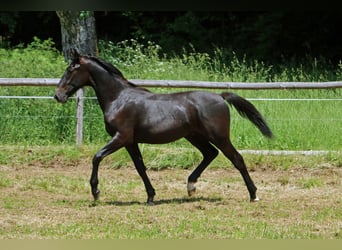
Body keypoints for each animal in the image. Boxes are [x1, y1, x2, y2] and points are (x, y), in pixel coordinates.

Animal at [54, 48, 272, 205]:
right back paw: (191, 186)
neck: (118, 99)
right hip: (195, 136)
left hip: (218, 136)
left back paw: (253, 195)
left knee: (237, 159)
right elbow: (140, 167)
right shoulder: (130, 142)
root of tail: (220, 96)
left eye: (71, 69)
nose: (58, 95)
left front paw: (96, 192)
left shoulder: (121, 137)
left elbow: (97, 157)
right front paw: (151, 196)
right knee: (210, 154)